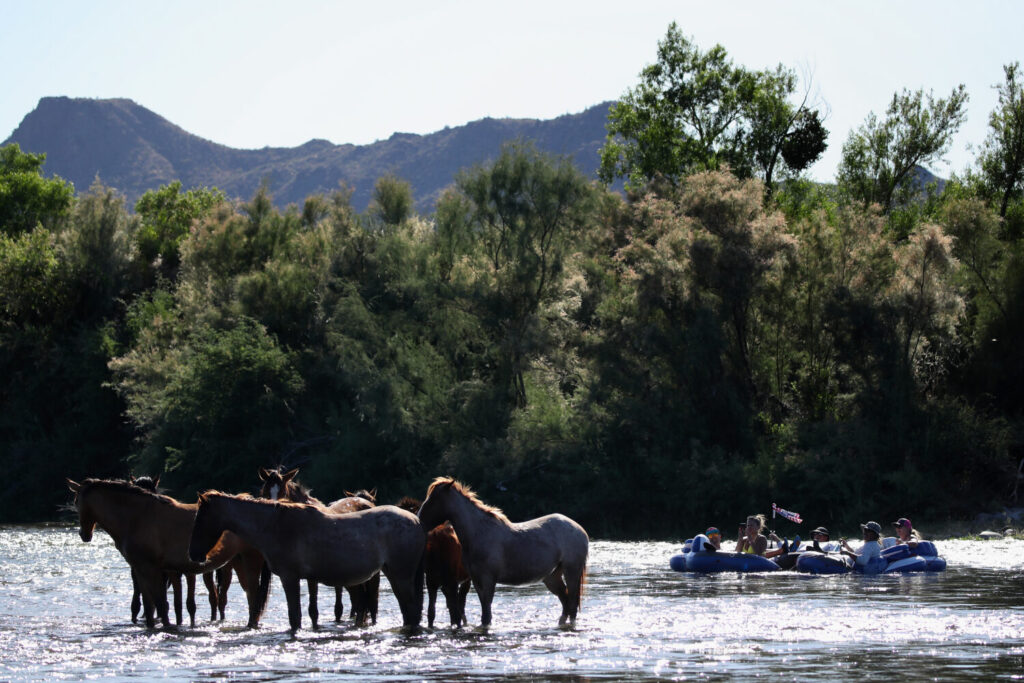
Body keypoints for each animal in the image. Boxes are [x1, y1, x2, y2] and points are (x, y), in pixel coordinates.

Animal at [65, 478, 235, 629]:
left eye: (76, 501)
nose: (84, 534)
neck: (136, 518)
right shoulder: (140, 570)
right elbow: (149, 606)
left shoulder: (151, 569)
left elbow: (161, 605)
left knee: (220, 600)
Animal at [188, 491, 425, 633]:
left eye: (200, 518)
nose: (193, 555)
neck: (274, 526)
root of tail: (416, 521)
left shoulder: (290, 578)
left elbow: (295, 617)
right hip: (393, 575)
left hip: (401, 576)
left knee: (411, 611)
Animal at [417, 477, 588, 628]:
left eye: (433, 499)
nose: (419, 519)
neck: (479, 532)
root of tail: (579, 529)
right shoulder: (476, 581)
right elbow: (484, 611)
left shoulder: (488, 580)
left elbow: (486, 615)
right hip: (552, 577)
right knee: (566, 603)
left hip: (571, 571)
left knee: (572, 605)